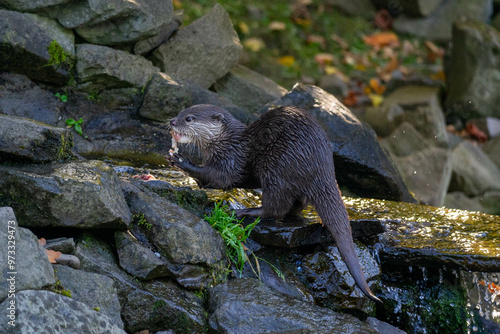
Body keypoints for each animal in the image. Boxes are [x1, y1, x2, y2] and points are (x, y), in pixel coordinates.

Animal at [167, 103, 378, 302]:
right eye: (180, 113)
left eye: (189, 118)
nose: (172, 121)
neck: (227, 142)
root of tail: (322, 167)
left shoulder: (230, 160)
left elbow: (220, 178)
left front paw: (182, 161)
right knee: (296, 205)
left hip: (277, 167)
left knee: (276, 206)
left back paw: (248, 211)